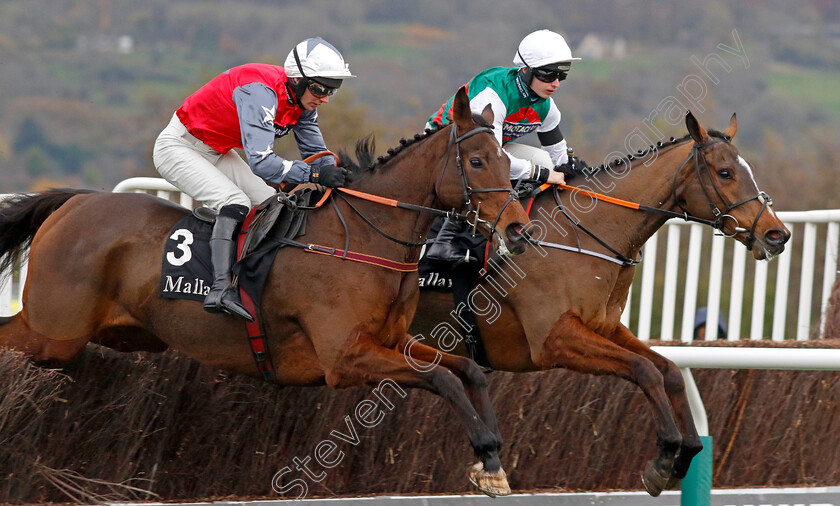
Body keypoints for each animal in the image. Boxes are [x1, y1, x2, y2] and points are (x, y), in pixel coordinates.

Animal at [0, 86, 528, 494]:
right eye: (477, 160)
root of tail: (74, 203)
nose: (518, 229)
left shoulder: (393, 341)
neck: (362, 236)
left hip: (112, 334)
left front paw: (493, 462)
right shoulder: (345, 360)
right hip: (53, 332)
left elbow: (467, 370)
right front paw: (485, 452)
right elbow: (442, 379)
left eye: (508, 161)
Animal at [410, 111, 792, 498]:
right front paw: (665, 455)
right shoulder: (553, 341)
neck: (585, 232)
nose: (777, 234)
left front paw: (685, 453)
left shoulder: (605, 327)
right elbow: (644, 369)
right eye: (725, 172)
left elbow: (669, 370)